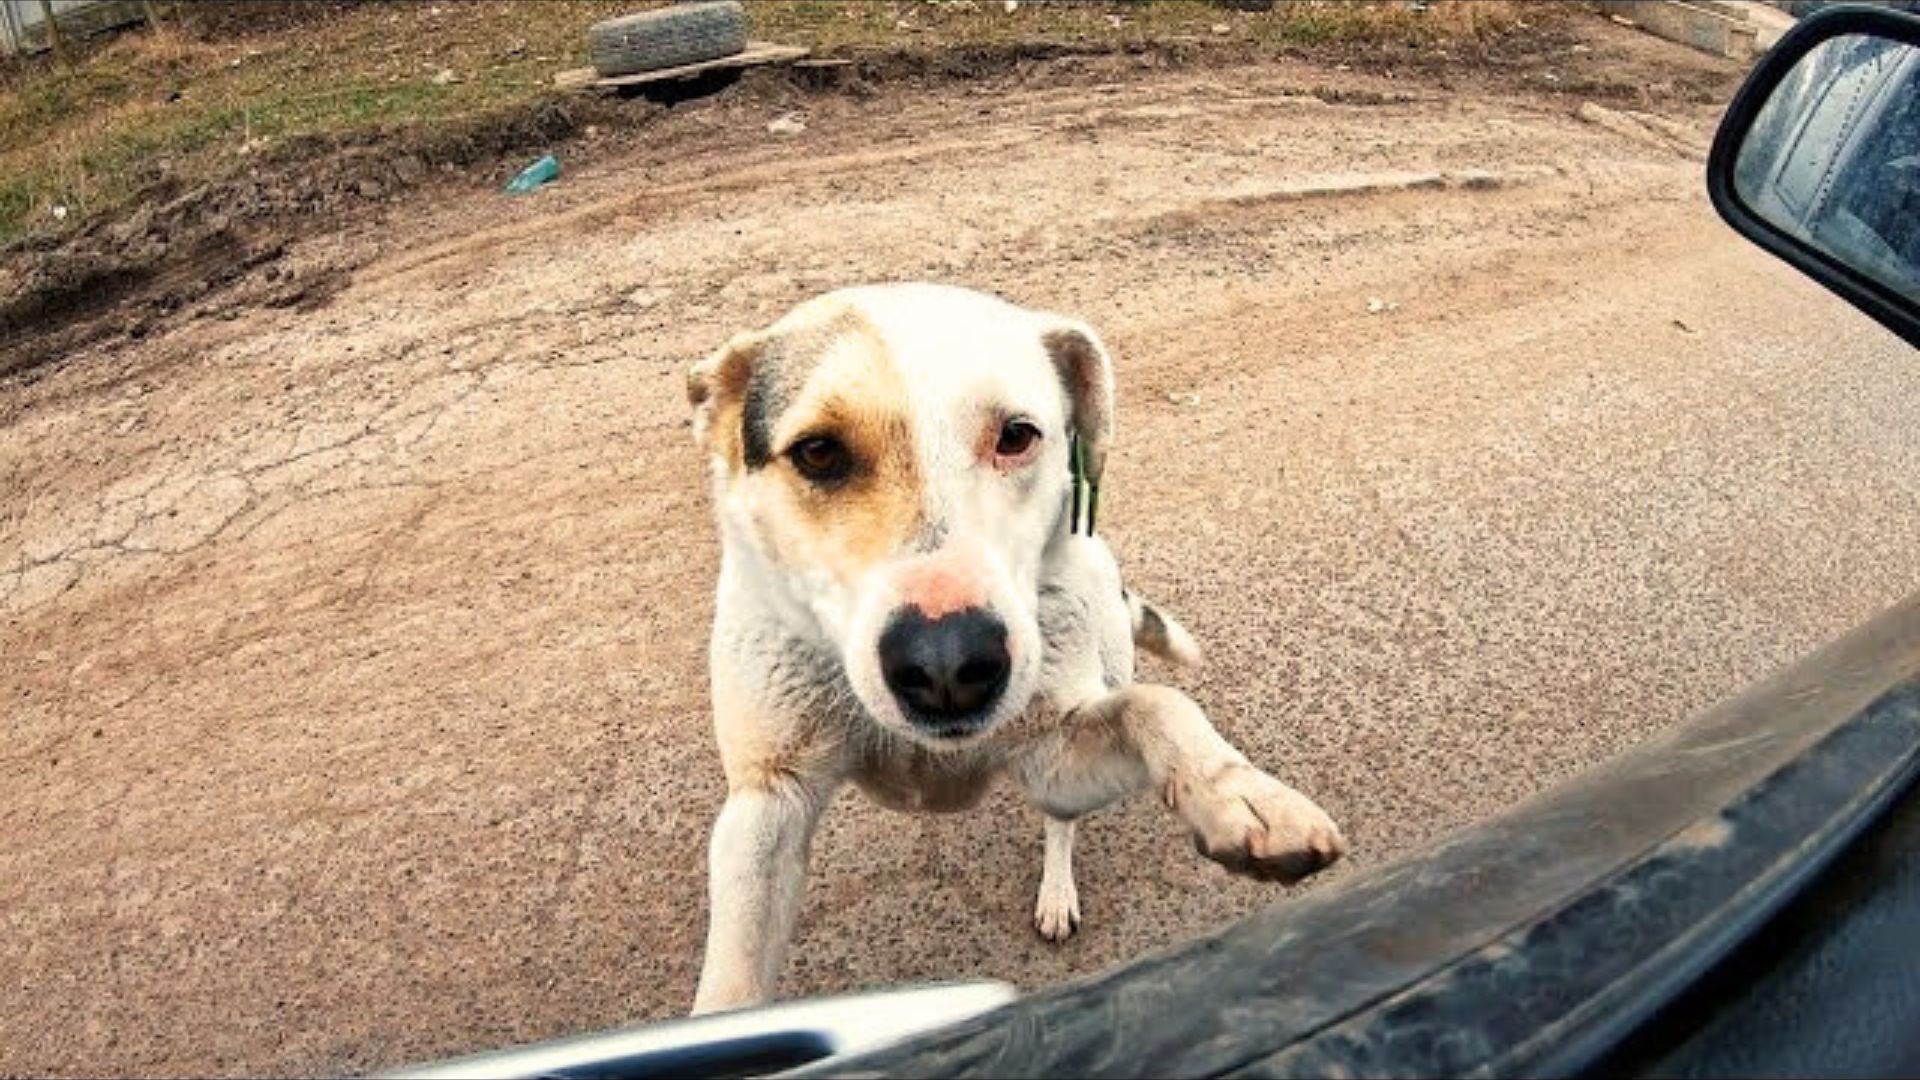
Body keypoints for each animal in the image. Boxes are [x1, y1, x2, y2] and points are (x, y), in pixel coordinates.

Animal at [691, 278, 1351, 1006]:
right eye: (818, 452)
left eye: (1016, 436)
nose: (948, 664)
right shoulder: (767, 805)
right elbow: (732, 982)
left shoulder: (1053, 756)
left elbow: (1160, 707)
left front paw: (1237, 792)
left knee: (1062, 817)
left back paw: (1058, 893)